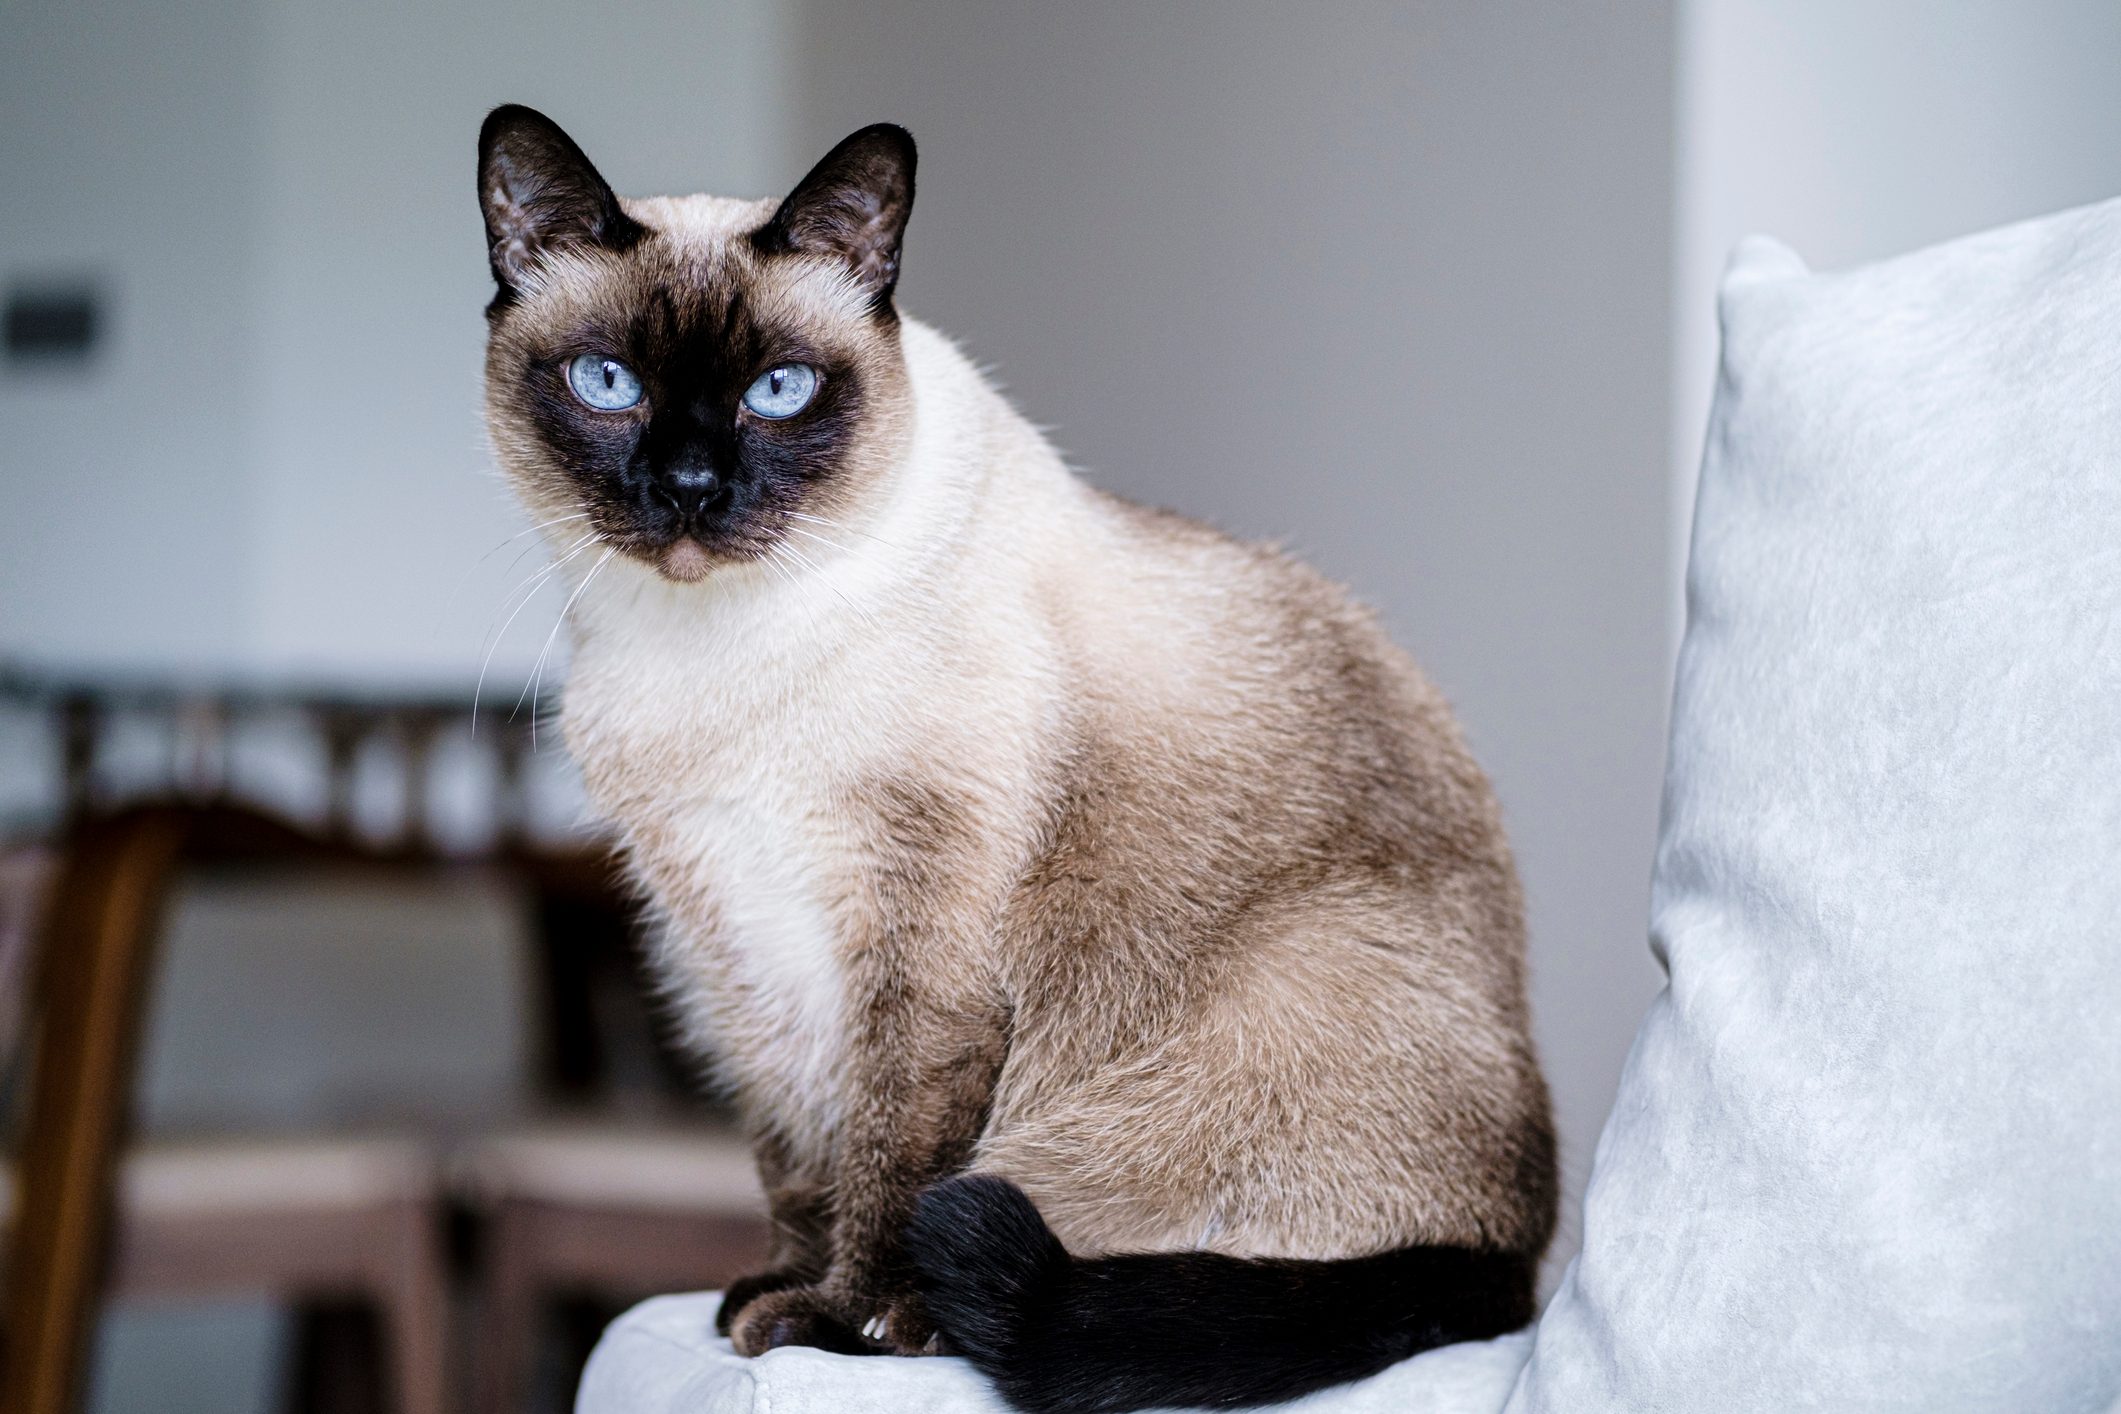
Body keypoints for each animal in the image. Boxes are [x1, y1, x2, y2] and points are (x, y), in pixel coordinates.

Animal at [477, 102, 1561, 1414]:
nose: (688, 488)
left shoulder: (919, 942)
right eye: (610, 383)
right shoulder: (729, 937)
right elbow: (797, 1149)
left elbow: (891, 1153)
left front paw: (840, 1330)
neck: (709, 656)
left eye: (780, 391)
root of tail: (1520, 1259)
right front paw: (769, 1298)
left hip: (1254, 1007)